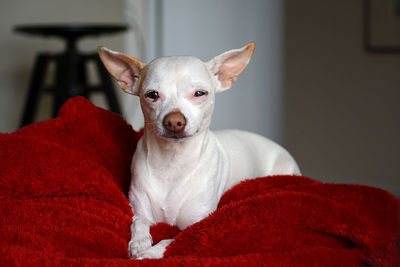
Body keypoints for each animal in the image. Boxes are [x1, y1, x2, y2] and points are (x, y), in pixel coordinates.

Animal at [98, 43, 300, 260]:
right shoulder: (140, 210)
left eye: (199, 93)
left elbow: (170, 240)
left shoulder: (195, 226)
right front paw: (139, 243)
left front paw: (150, 253)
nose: (174, 121)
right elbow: (139, 223)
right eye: (152, 95)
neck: (172, 163)